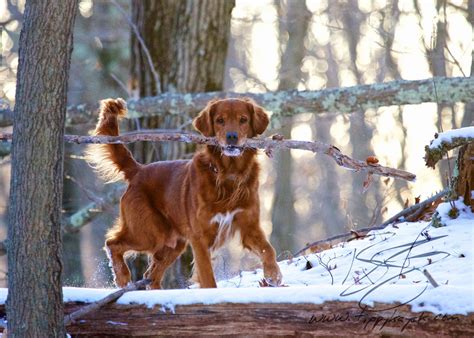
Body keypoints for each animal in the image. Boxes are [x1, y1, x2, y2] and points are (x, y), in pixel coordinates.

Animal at [87, 97, 282, 288]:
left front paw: (273, 275)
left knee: (151, 275)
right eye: (220, 120)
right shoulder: (200, 237)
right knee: (112, 243)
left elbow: (268, 249)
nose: (231, 137)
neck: (229, 175)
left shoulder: (249, 226)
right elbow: (207, 276)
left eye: (243, 120)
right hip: (150, 233)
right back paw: (122, 278)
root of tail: (138, 170)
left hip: (173, 243)